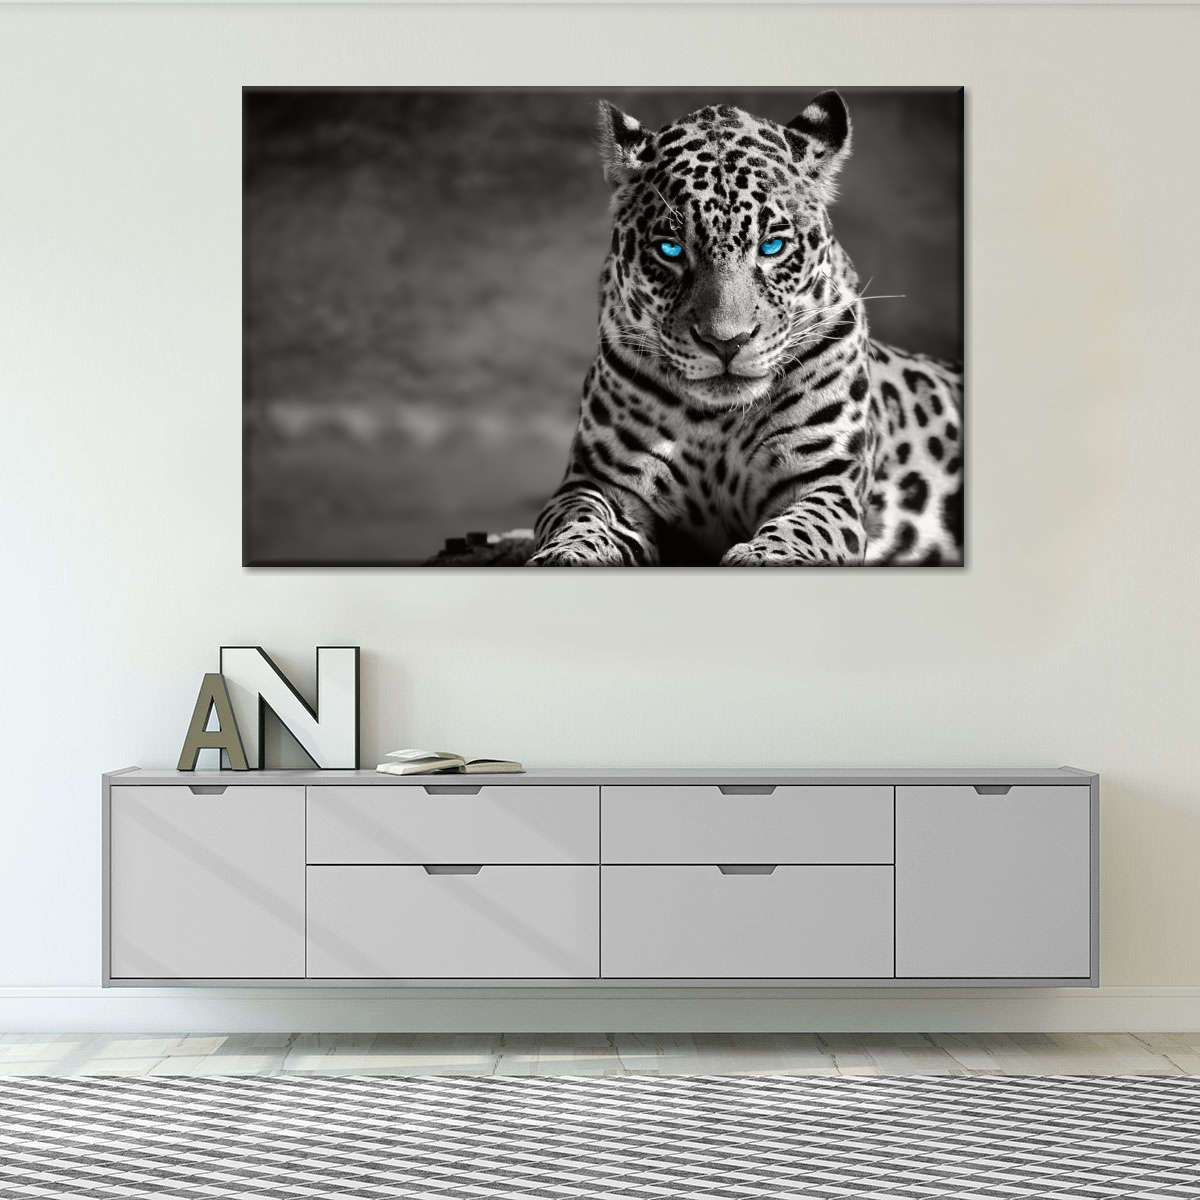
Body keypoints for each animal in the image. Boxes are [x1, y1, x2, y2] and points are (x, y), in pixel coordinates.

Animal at [528, 92, 963, 567]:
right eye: (670, 249)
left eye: (772, 246)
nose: (726, 342)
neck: (717, 421)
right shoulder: (600, 480)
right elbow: (580, 518)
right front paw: (567, 554)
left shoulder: (825, 482)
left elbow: (801, 528)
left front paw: (765, 555)